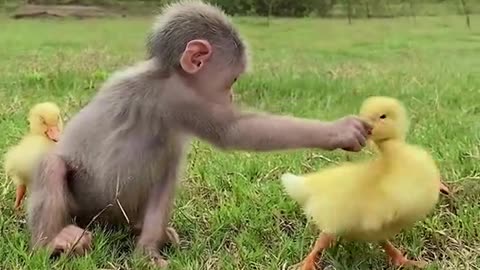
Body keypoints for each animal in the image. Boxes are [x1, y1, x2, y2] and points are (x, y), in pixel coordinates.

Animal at [25, 0, 372, 266]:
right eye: (232, 80)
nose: (231, 96)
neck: (167, 73)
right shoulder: (179, 99)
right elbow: (233, 131)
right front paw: (340, 131)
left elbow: (168, 174)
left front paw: (147, 253)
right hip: (83, 205)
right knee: (52, 165)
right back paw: (52, 242)